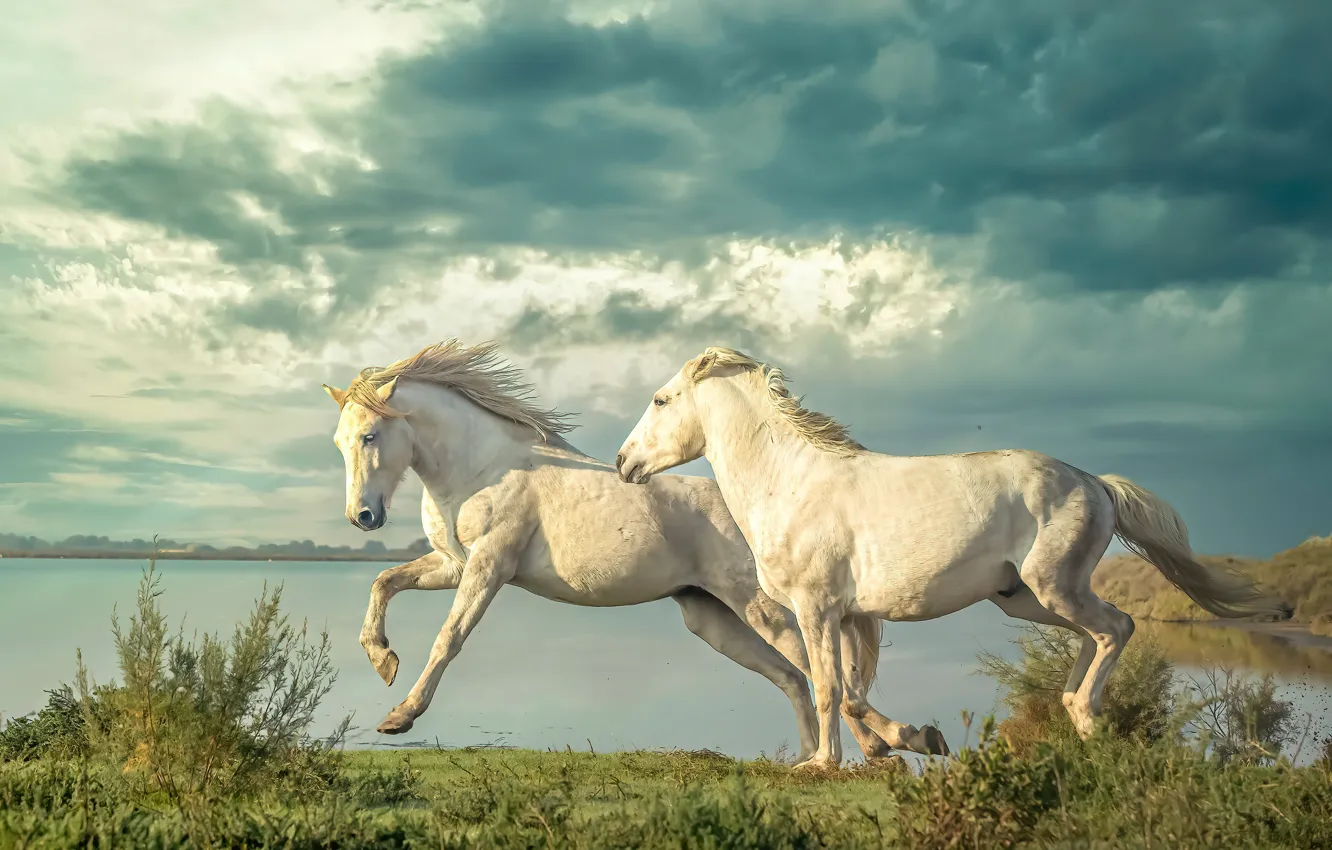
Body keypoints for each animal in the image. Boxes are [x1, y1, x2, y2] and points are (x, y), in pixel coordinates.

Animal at [321, 339, 925, 762]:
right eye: (339, 442)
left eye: (371, 435)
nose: (362, 517)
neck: (481, 466)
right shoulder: (453, 566)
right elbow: (384, 582)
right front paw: (382, 659)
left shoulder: (488, 567)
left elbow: (448, 638)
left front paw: (400, 715)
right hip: (712, 619)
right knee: (796, 677)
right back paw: (817, 758)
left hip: (768, 607)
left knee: (821, 670)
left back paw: (891, 744)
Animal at [614, 345, 1292, 769]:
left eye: (661, 400)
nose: (623, 463)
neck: (793, 483)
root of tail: (1093, 482)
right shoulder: (852, 617)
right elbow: (850, 691)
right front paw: (910, 741)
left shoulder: (817, 609)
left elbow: (830, 688)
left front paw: (829, 762)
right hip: (1023, 599)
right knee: (1095, 634)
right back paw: (1075, 713)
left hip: (1056, 585)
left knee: (1116, 627)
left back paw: (1086, 718)